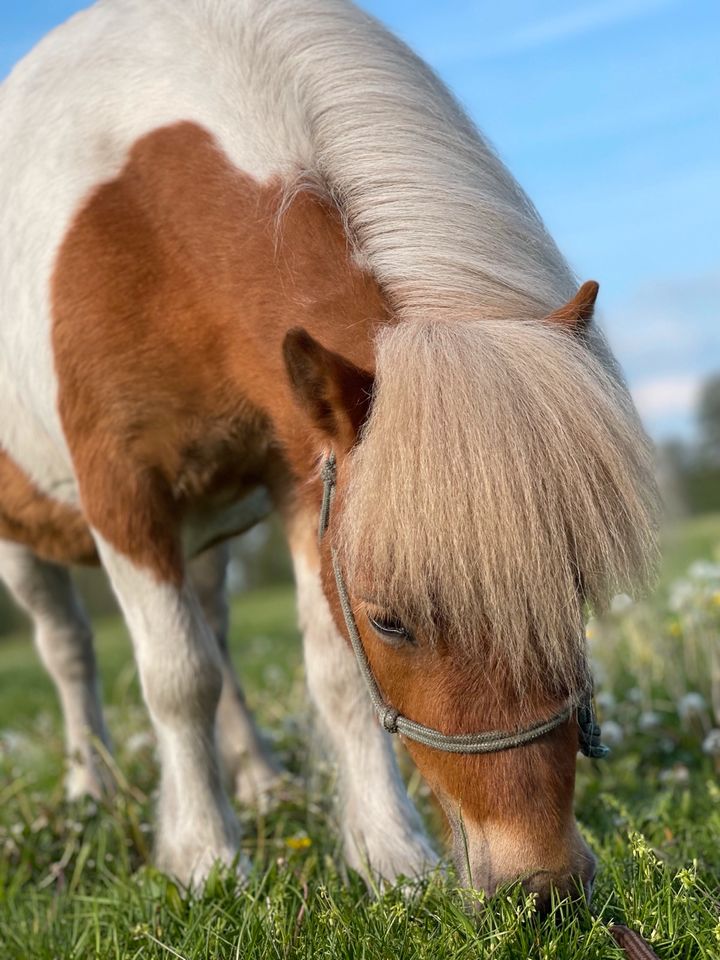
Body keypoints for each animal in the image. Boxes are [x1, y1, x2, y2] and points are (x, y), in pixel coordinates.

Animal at [0, 0, 660, 904]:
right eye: (392, 621)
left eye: (578, 586)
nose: (543, 882)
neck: (140, 209)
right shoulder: (122, 494)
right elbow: (178, 679)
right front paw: (206, 857)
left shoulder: (303, 476)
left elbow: (333, 675)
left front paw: (389, 853)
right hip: (26, 540)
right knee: (68, 648)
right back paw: (91, 788)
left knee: (214, 625)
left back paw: (259, 780)